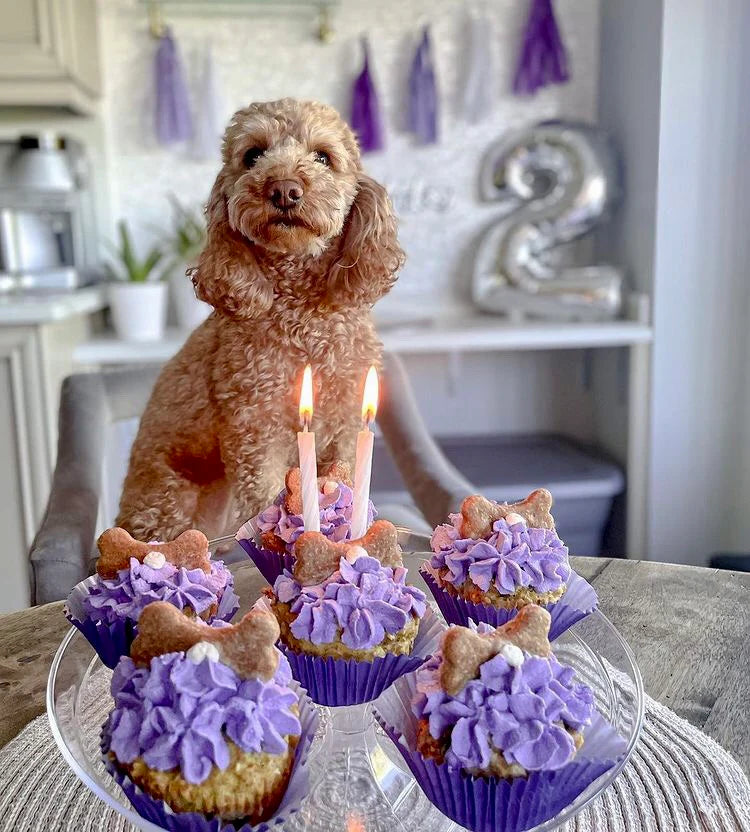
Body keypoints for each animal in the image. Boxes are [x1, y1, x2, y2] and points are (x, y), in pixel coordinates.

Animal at [116, 99, 406, 540]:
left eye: (324, 157)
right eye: (252, 155)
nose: (284, 189)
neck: (303, 318)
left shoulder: (345, 424)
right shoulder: (255, 430)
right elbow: (268, 496)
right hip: (167, 500)